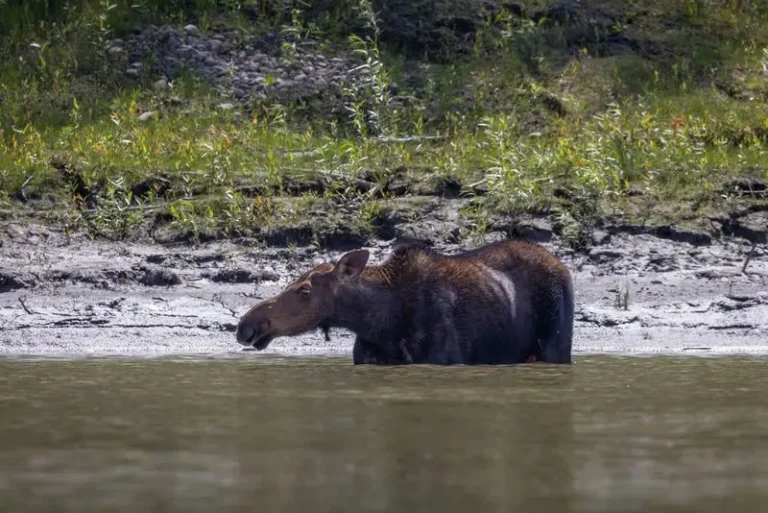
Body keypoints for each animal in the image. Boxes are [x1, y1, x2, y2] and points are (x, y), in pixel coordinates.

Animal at [235, 240, 574, 365]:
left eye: (305, 290)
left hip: (556, 348)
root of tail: (562, 264)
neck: (379, 324)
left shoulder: (446, 359)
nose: (246, 325)